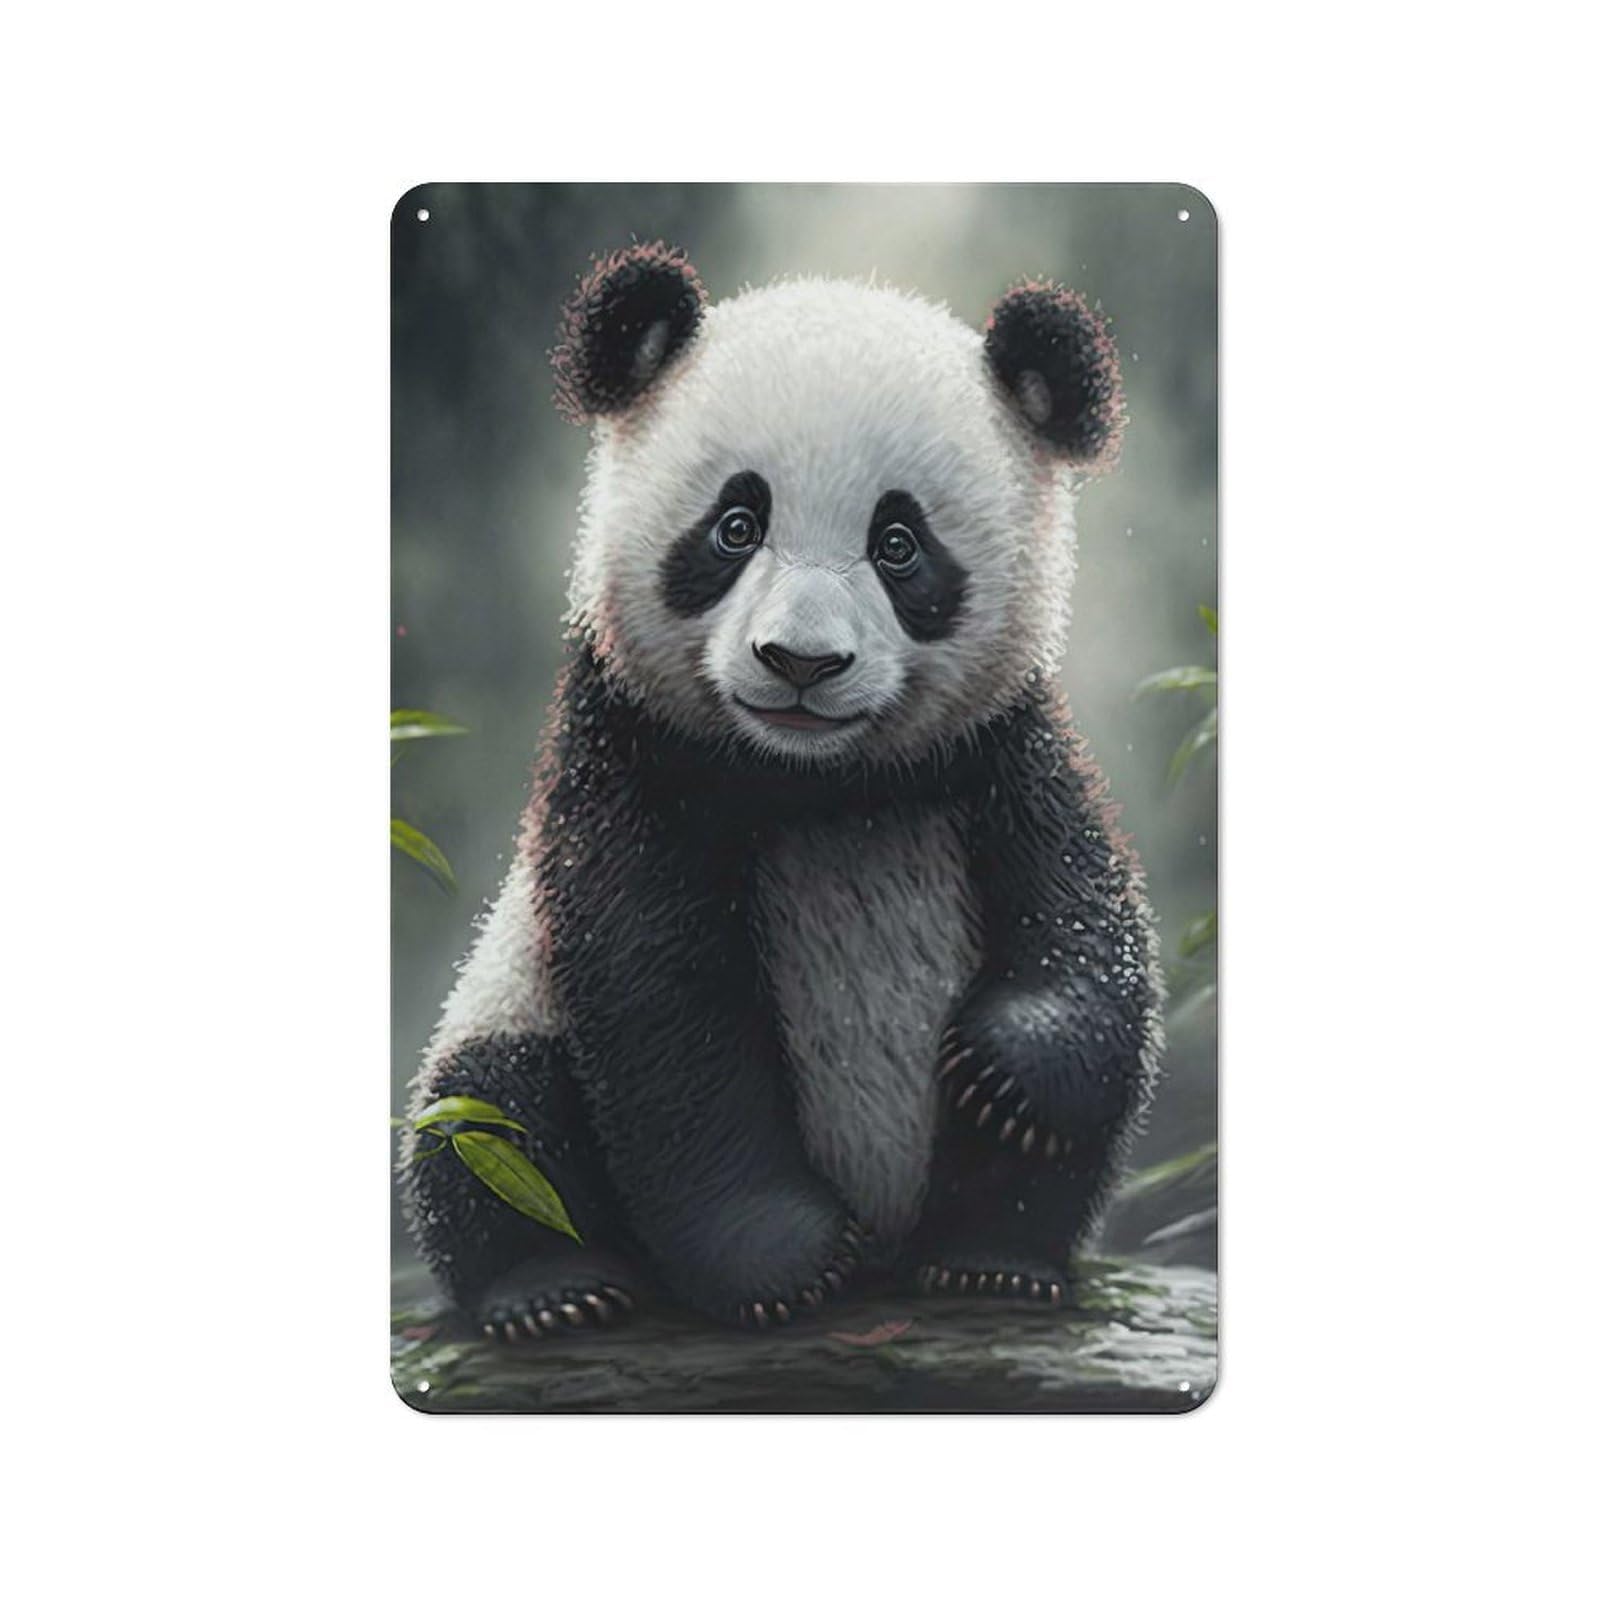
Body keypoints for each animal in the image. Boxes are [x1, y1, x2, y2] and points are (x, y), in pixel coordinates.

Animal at [403, 242, 1163, 1339]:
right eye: (734, 524)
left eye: (900, 544)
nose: (800, 661)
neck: (814, 781)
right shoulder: (632, 756)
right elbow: (661, 1002)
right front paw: (781, 1262)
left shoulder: (999, 747)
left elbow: (1083, 907)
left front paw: (1007, 1070)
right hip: (505, 1008)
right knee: (487, 1118)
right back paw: (552, 1290)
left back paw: (992, 1260)